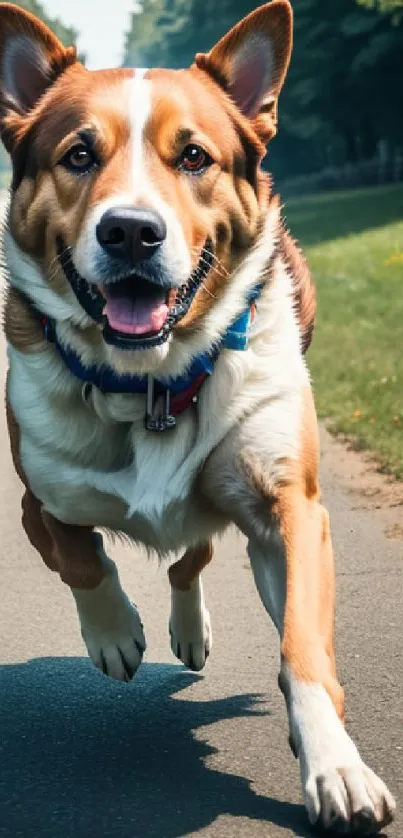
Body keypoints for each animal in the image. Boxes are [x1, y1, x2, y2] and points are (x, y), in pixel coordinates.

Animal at [0, 3, 398, 836]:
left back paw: (190, 629)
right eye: (78, 154)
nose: (130, 231)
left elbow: (302, 646)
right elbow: (81, 558)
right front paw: (115, 634)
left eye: (192, 157)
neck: (149, 382)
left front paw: (336, 769)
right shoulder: (36, 501)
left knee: (192, 555)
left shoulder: (290, 509)